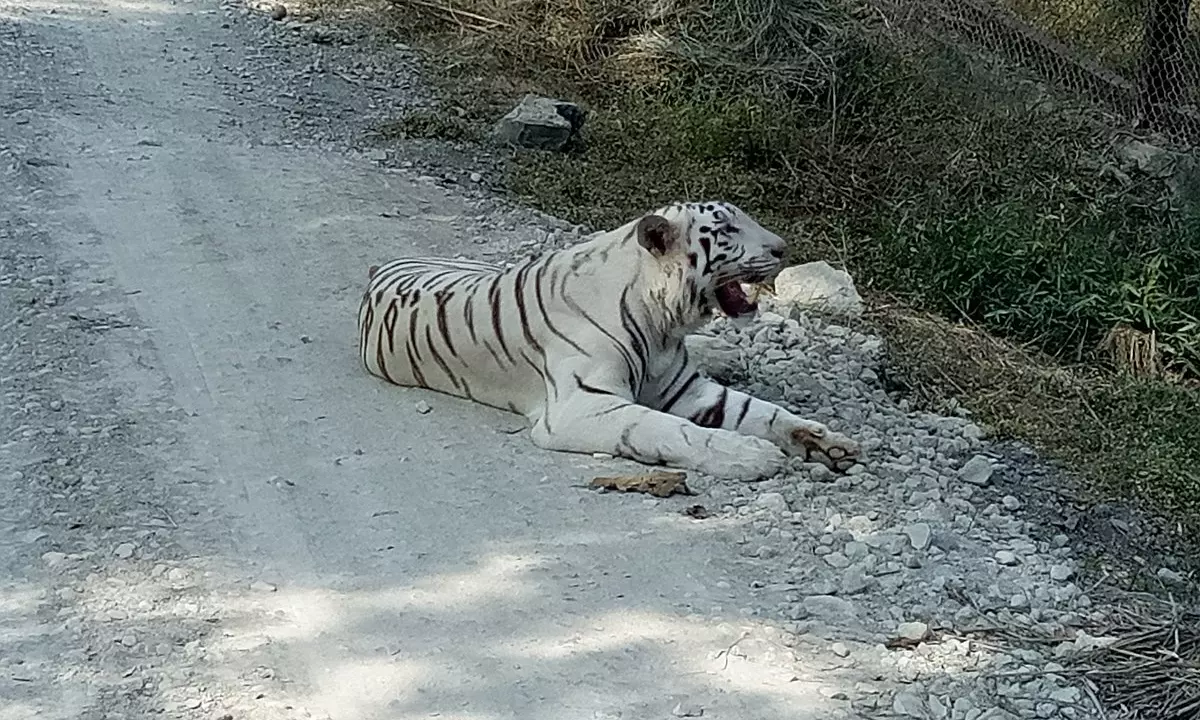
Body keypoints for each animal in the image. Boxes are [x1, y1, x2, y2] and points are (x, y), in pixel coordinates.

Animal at [357, 201, 861, 481]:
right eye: (727, 230)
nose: (783, 248)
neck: (664, 325)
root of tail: (387, 264)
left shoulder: (688, 389)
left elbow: (765, 413)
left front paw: (830, 444)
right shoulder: (582, 406)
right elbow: (668, 430)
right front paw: (750, 456)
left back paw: (725, 351)